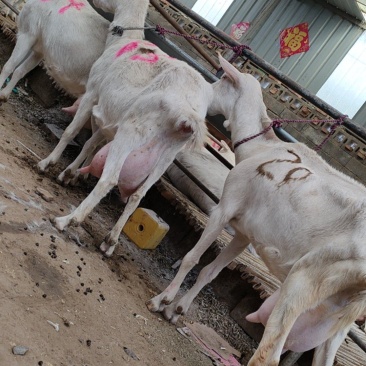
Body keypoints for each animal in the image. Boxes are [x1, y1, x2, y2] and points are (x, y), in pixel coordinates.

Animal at [35, 0, 213, 258]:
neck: (123, 41)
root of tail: (187, 113)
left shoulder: (93, 92)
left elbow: (72, 131)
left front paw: (47, 164)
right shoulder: (110, 115)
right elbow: (90, 143)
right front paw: (70, 174)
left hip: (133, 131)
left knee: (110, 180)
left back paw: (67, 220)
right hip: (168, 153)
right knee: (138, 195)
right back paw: (110, 241)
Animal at [148, 55, 366, 366]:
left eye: (222, 80)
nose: (206, 93)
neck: (260, 147)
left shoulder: (225, 207)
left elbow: (192, 258)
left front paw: (161, 301)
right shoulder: (244, 233)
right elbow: (210, 271)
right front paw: (177, 309)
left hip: (305, 279)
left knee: (269, 353)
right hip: (342, 311)